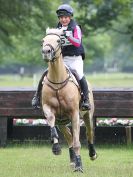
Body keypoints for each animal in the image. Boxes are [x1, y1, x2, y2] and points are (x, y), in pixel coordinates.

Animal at [40, 27, 96, 173]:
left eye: (59, 40)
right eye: (43, 40)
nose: (46, 52)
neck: (57, 81)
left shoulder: (74, 114)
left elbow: (77, 142)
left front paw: (79, 167)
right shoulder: (49, 109)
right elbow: (51, 122)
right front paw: (56, 148)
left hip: (87, 115)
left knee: (89, 133)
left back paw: (92, 154)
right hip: (62, 122)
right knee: (69, 137)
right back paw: (72, 161)